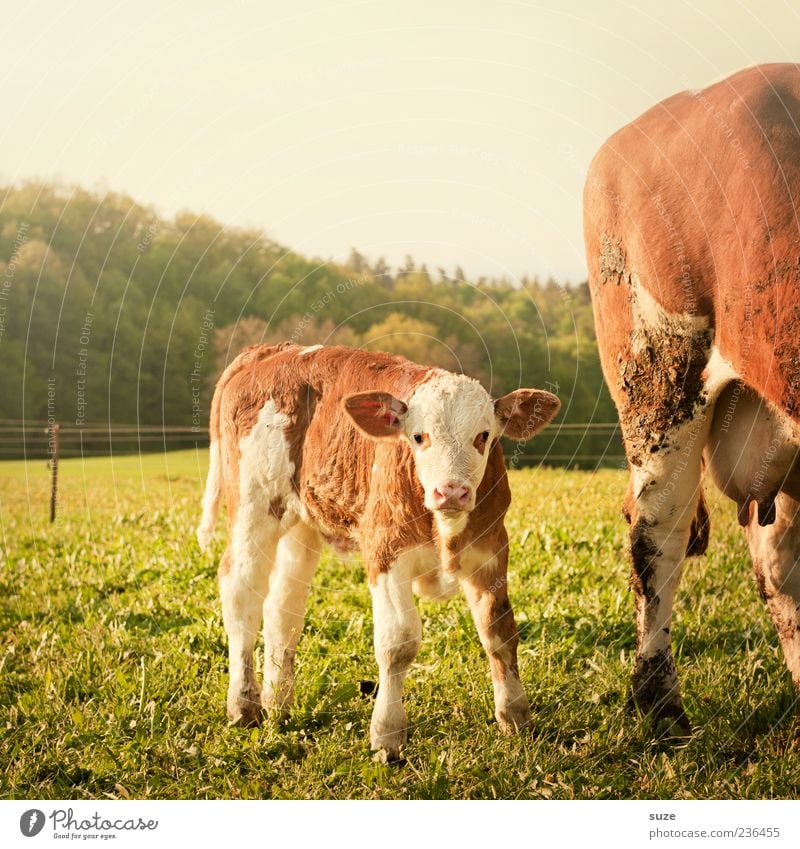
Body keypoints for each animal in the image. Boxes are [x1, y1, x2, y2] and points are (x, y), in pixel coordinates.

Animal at [197, 342, 560, 760]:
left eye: (483, 436)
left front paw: (516, 716)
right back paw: (243, 705)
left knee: (282, 609)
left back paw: (278, 702)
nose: (451, 491)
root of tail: (271, 351)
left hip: (302, 525)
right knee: (242, 594)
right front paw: (387, 734)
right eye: (418, 437)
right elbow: (398, 641)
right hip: (254, 507)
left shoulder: (491, 549)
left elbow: (498, 630)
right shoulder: (385, 551)